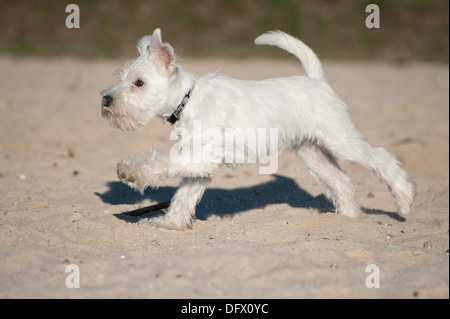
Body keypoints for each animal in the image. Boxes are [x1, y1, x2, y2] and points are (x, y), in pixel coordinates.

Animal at [101, 28, 414, 230]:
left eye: (139, 83)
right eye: (122, 78)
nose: (105, 99)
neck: (188, 100)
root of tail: (316, 80)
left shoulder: (198, 158)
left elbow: (159, 163)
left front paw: (132, 171)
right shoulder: (200, 162)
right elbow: (184, 196)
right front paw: (171, 223)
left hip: (342, 141)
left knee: (383, 158)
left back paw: (404, 202)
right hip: (313, 153)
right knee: (342, 182)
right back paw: (349, 219)